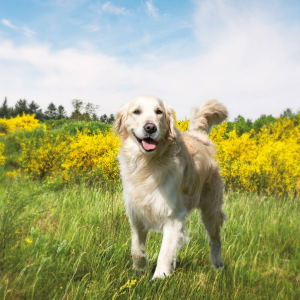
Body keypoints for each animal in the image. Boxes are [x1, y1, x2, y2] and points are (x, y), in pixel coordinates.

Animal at [114, 95, 227, 278]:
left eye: (158, 112)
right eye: (136, 111)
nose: (150, 127)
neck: (147, 164)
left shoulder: (173, 216)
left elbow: (165, 253)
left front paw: (159, 278)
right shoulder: (136, 212)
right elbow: (136, 248)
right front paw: (139, 268)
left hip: (211, 209)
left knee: (215, 240)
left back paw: (217, 265)